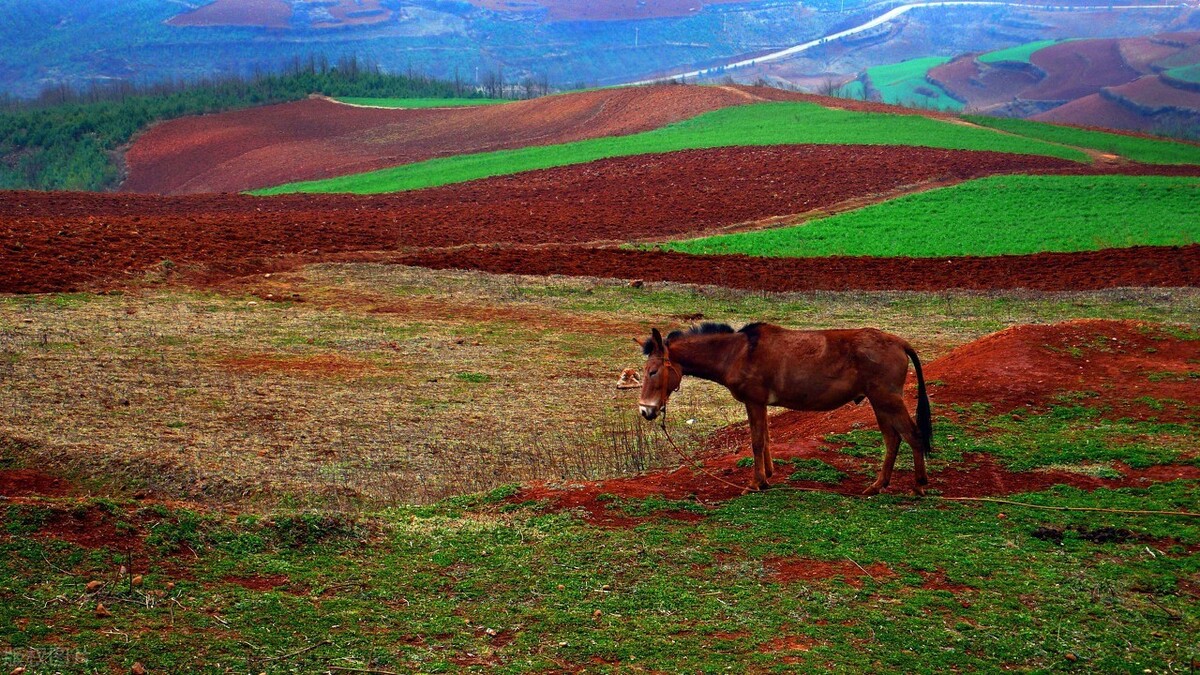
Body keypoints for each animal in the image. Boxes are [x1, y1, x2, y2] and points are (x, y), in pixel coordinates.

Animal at [638, 319, 926, 494]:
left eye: (652, 372)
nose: (645, 411)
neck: (737, 353)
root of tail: (899, 342)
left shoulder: (754, 402)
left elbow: (756, 441)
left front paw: (756, 483)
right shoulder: (761, 404)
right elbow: (765, 439)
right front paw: (768, 475)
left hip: (887, 400)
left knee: (912, 435)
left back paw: (919, 485)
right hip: (880, 403)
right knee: (893, 439)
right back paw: (879, 485)